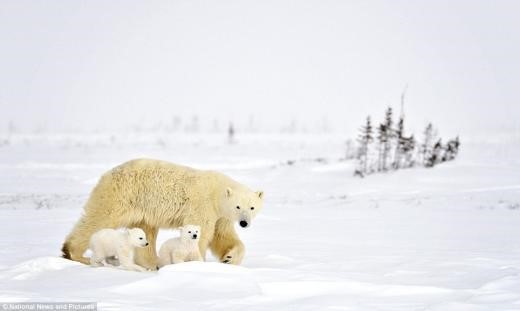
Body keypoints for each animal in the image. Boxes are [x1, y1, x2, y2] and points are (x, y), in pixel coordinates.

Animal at [61, 158, 264, 270]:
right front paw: (196, 263)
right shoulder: (203, 205)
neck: (216, 192)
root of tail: (107, 174)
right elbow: (202, 232)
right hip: (120, 195)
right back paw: (73, 252)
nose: (244, 223)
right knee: (99, 218)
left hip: (141, 208)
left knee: (146, 233)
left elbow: (223, 237)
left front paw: (229, 258)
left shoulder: (221, 216)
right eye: (238, 206)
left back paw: (152, 263)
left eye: (252, 208)